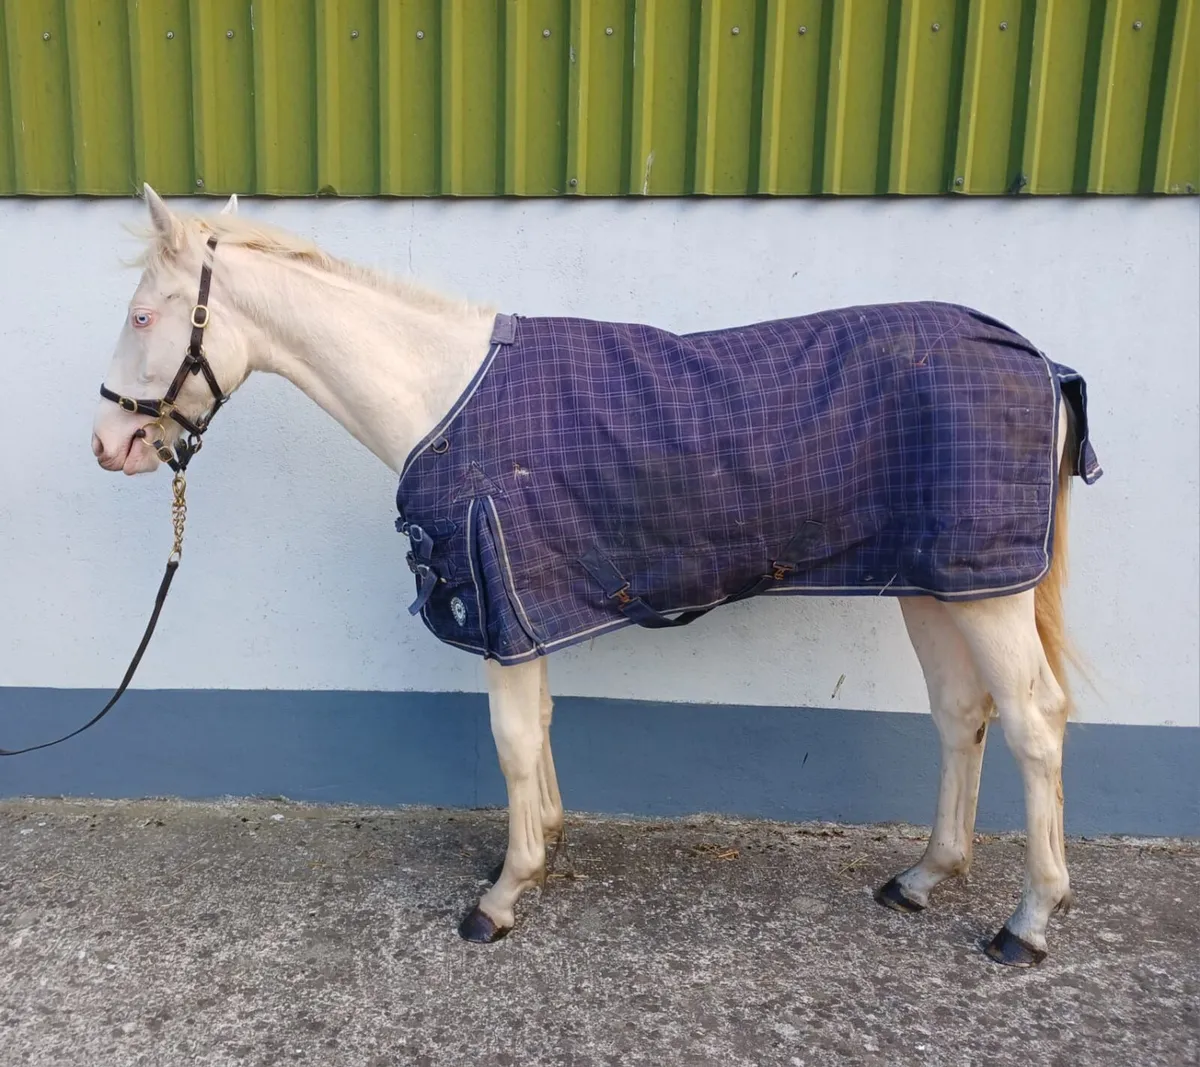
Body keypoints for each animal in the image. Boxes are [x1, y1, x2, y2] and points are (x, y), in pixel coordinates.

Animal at [90, 186, 1103, 967]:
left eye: (141, 316)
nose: (109, 444)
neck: (443, 395)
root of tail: (1040, 360)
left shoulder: (498, 602)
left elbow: (509, 738)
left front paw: (502, 895)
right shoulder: (529, 606)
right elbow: (538, 724)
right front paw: (543, 842)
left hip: (990, 588)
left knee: (1035, 722)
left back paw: (1028, 921)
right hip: (938, 582)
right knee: (961, 714)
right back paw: (924, 876)